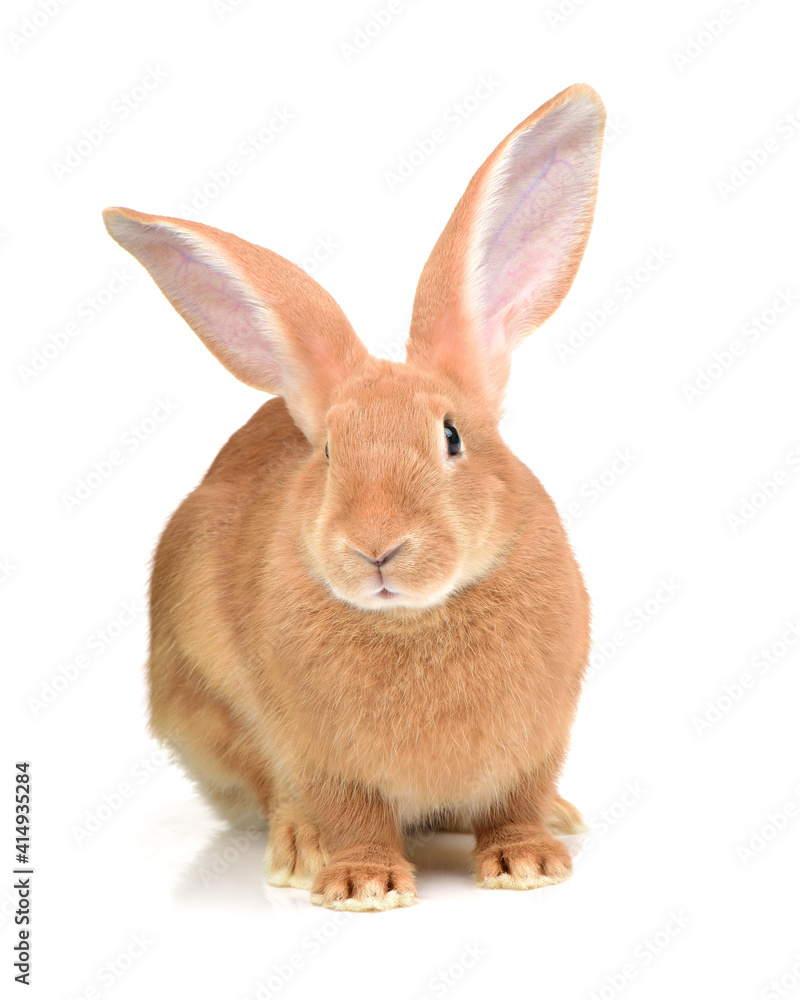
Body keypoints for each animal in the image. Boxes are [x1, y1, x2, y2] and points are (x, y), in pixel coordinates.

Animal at [103, 82, 605, 911]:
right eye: (329, 453)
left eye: (452, 436)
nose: (377, 547)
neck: (413, 621)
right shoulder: (319, 753)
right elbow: (350, 810)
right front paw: (363, 884)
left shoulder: (539, 743)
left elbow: (516, 802)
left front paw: (530, 863)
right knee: (274, 792)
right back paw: (298, 850)